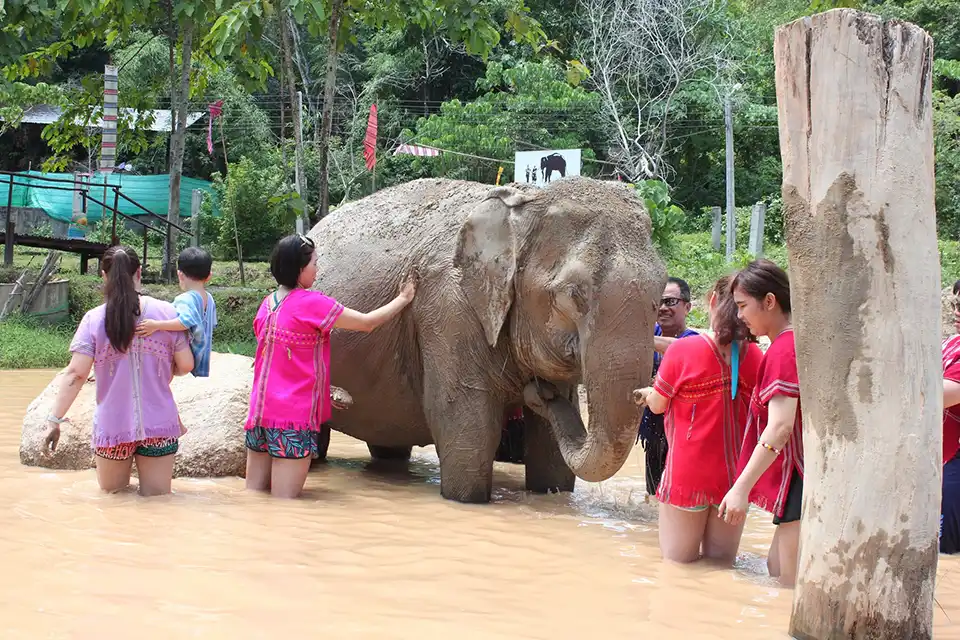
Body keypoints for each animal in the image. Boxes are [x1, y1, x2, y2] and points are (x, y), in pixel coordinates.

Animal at [310, 177, 666, 503]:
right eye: (572, 295)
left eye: (661, 293)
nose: (539, 392)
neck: (525, 202)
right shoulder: (448, 308)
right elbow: (466, 425)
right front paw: (465, 499)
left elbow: (550, 453)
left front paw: (552, 493)